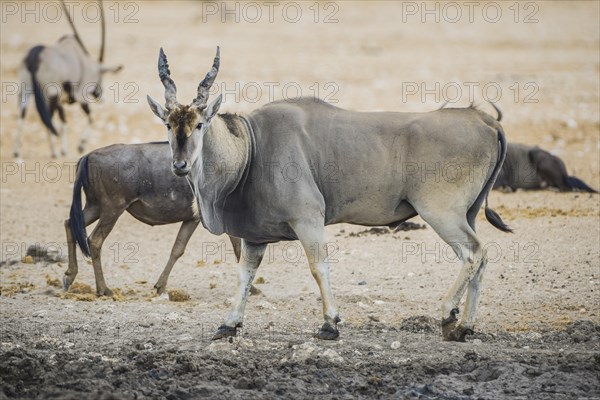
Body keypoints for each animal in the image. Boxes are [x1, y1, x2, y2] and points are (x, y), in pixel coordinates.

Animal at [14, 0, 121, 159]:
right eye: (100, 77)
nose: (100, 96)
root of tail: (35, 56)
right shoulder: (80, 97)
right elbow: (89, 117)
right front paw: (79, 146)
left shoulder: (62, 101)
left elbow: (64, 120)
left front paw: (66, 148)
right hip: (51, 95)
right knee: (48, 118)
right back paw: (54, 152)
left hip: (25, 92)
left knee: (22, 117)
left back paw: (16, 152)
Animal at [65, 142, 241, 296]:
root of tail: (89, 155)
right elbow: (238, 247)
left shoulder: (193, 218)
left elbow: (178, 249)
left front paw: (160, 286)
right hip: (112, 209)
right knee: (94, 240)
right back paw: (103, 289)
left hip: (95, 207)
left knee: (69, 224)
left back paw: (69, 276)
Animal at [148, 46, 512, 340]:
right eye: (168, 124)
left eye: (200, 125)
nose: (180, 165)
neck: (251, 146)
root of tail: (484, 120)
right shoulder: (254, 237)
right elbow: (244, 275)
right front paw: (229, 324)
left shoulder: (308, 220)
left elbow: (318, 266)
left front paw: (329, 324)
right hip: (468, 214)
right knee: (481, 258)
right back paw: (464, 328)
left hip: (441, 212)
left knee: (473, 253)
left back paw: (448, 314)